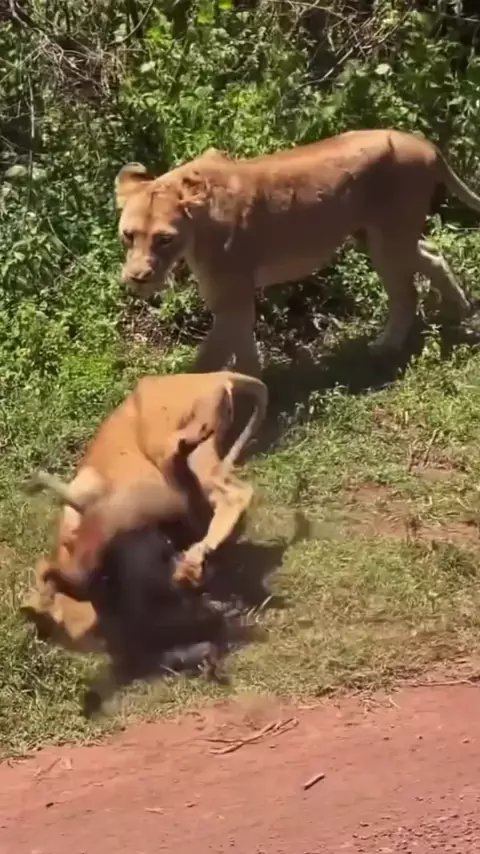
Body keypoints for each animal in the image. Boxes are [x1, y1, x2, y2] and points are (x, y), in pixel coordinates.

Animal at [115, 128, 480, 376]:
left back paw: (386, 346)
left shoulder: (232, 297)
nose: (138, 277)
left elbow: (211, 358)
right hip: (378, 235)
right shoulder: (230, 299)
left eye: (164, 239)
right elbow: (239, 349)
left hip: (389, 237)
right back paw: (461, 311)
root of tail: (424, 143)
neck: (197, 225)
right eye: (128, 236)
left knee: (406, 291)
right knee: (431, 254)